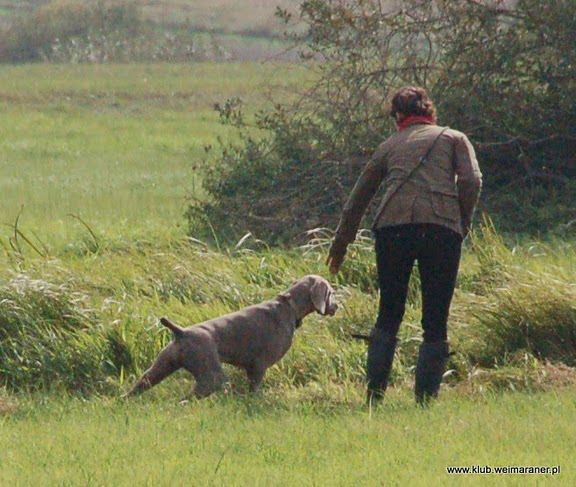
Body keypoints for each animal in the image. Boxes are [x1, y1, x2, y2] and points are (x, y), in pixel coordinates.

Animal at [122, 274, 338, 400]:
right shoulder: (259, 365)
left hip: (159, 368)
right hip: (212, 376)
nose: (337, 306)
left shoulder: (251, 367)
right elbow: (255, 391)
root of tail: (181, 332)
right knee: (186, 399)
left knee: (135, 389)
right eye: (331, 293)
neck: (289, 307)